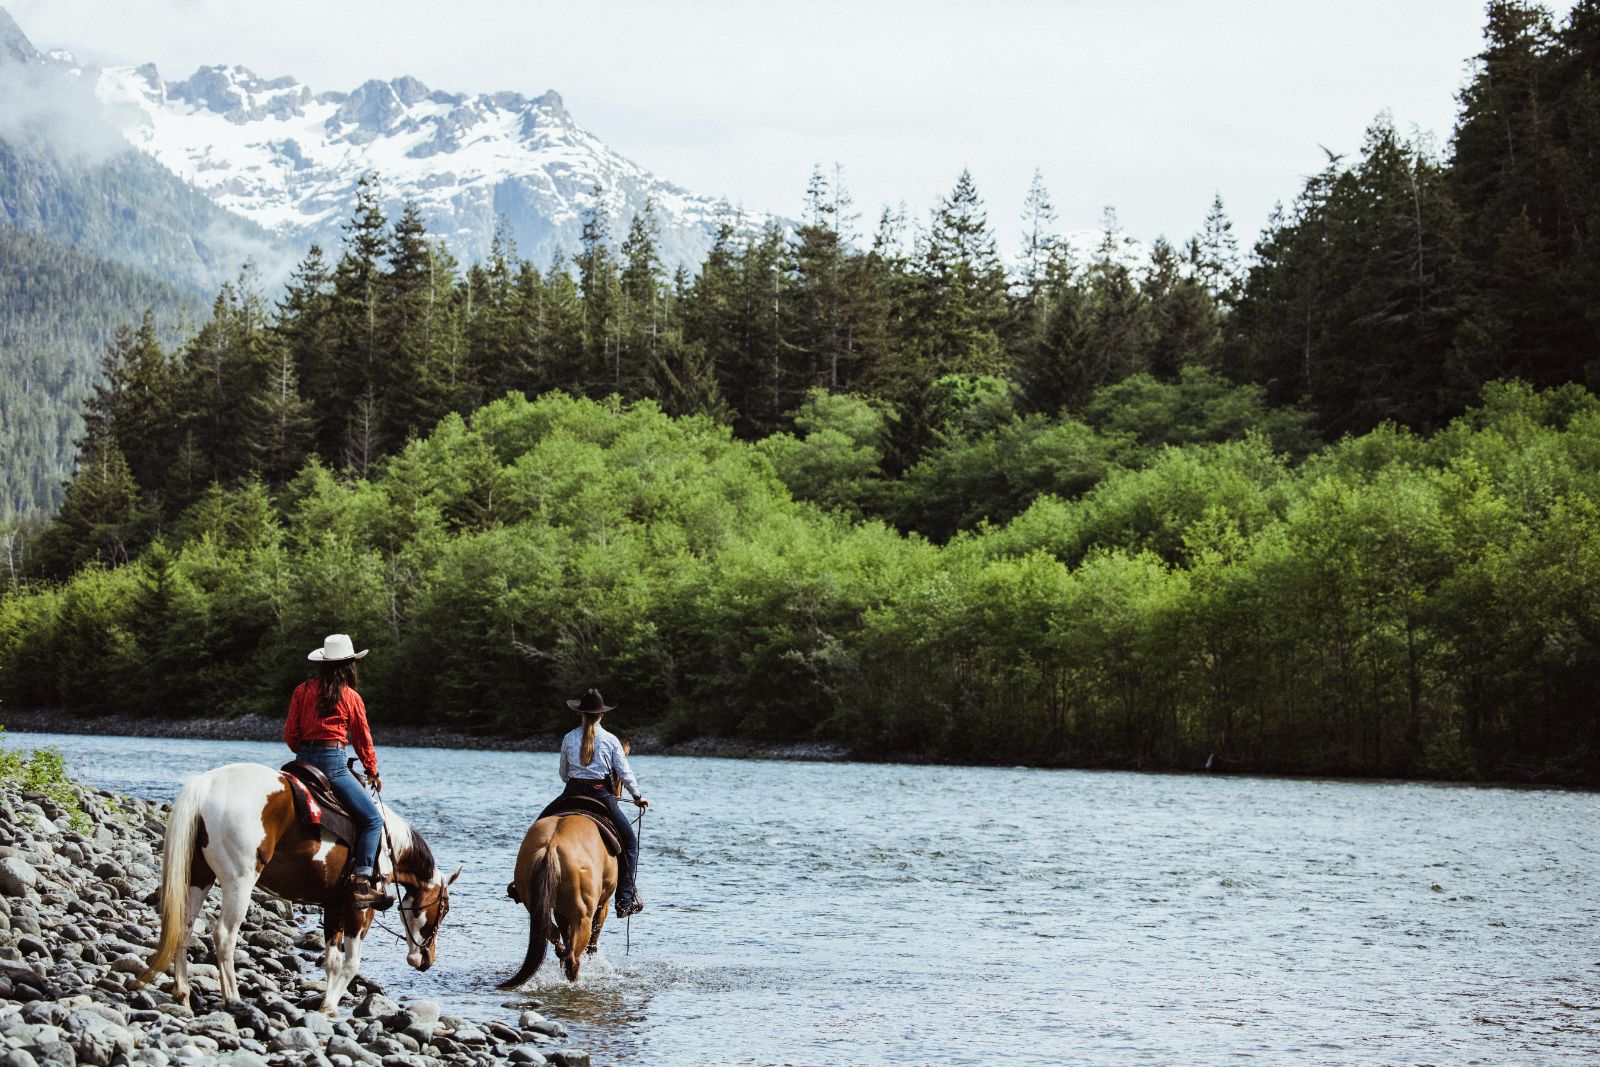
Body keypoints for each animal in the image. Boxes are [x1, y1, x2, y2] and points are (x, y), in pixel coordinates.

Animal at [133, 764, 460, 1017]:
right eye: (443, 909)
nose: (425, 959)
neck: (389, 844)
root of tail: (205, 784)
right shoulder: (360, 909)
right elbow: (351, 963)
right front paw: (330, 1006)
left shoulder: (334, 906)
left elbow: (332, 961)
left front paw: (327, 1002)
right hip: (239, 882)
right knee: (224, 935)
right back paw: (233, 998)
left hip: (199, 877)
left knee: (184, 928)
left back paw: (183, 995)